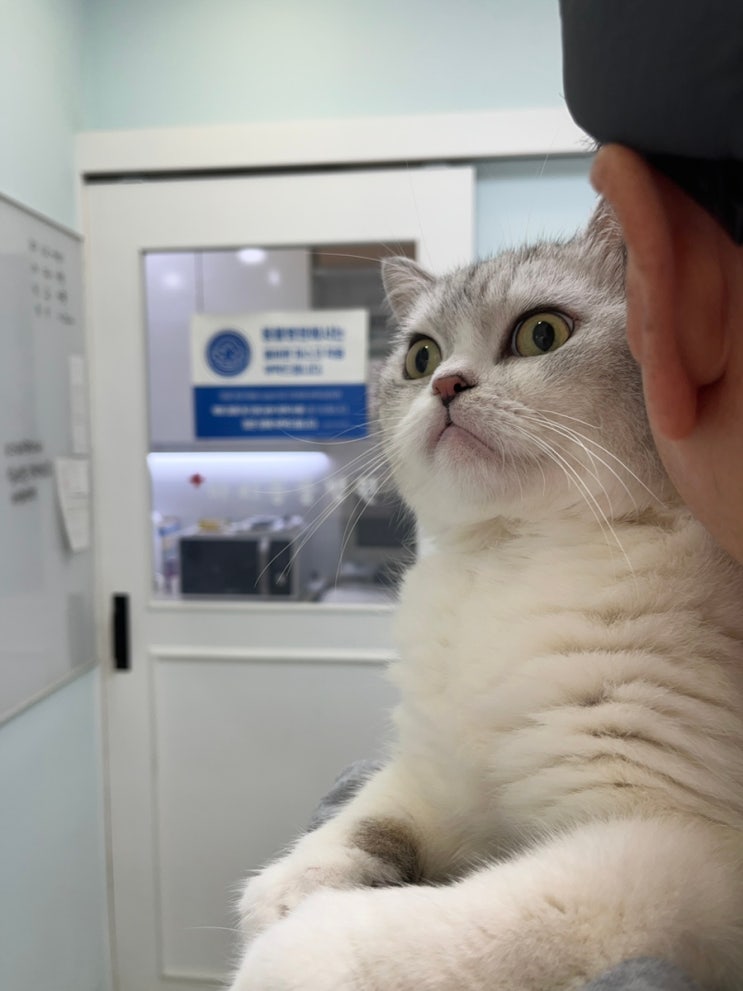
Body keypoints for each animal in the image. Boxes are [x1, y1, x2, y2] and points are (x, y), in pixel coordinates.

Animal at [227, 201, 743, 991]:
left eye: (541, 333)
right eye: (419, 357)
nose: (445, 385)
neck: (507, 562)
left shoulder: (674, 850)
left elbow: (454, 925)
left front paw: (290, 951)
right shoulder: (436, 775)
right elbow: (367, 819)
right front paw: (288, 885)